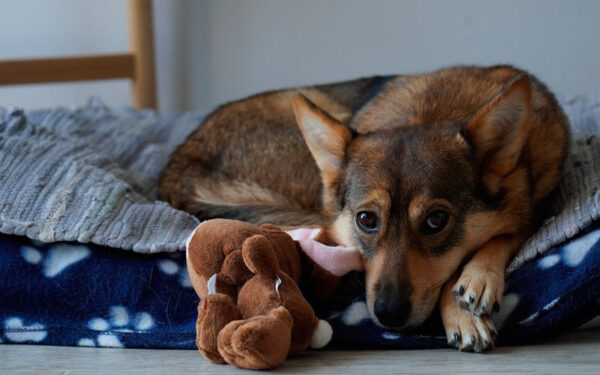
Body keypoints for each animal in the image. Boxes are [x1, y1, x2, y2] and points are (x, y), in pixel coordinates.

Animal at [158, 65, 568, 352]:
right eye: (366, 219)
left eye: (437, 220)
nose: (388, 314)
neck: (429, 113)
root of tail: (178, 167)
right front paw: (463, 313)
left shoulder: (534, 206)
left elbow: (505, 233)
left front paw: (478, 280)